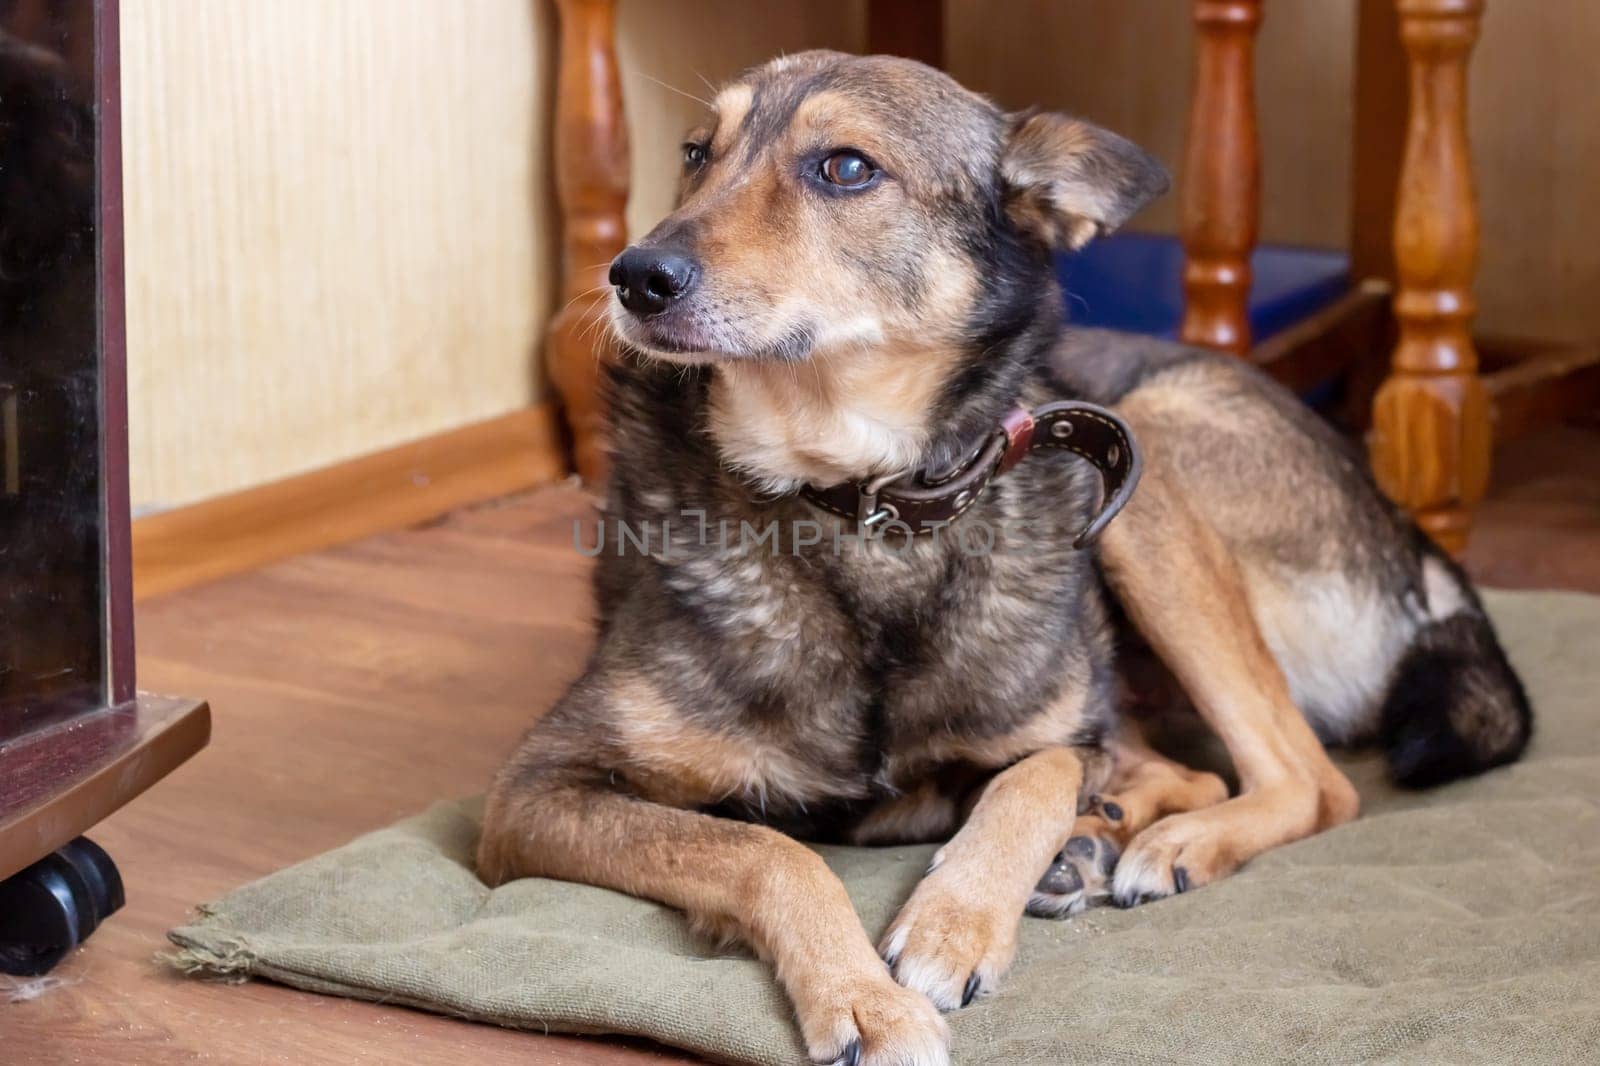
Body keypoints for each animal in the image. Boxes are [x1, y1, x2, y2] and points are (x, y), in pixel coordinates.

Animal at [480, 52, 1529, 1062]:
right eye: (697, 153)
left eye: (845, 168)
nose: (633, 275)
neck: (864, 500)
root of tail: (1404, 530)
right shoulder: (534, 790)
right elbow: (762, 850)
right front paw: (863, 998)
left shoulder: (1061, 731)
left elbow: (1031, 780)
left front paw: (956, 924)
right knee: (1193, 769)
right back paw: (1102, 844)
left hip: (1143, 462)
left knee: (1308, 780)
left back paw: (1164, 845)